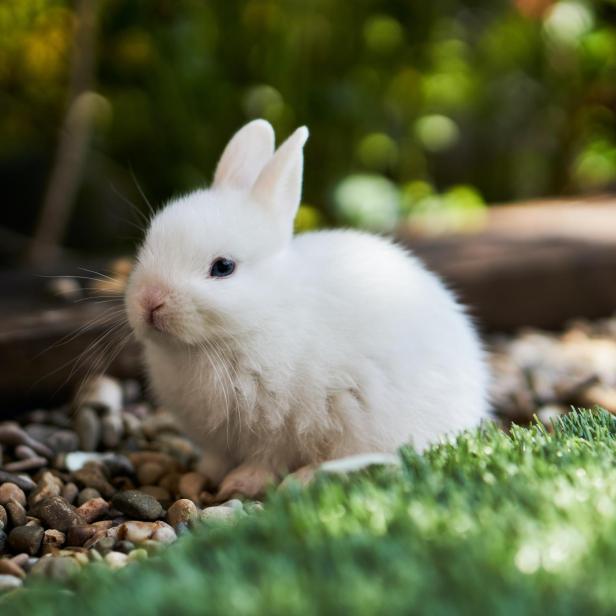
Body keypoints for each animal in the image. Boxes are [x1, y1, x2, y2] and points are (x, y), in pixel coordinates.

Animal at [125, 120, 490, 500]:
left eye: (223, 267)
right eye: (148, 245)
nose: (150, 301)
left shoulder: (281, 427)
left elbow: (267, 459)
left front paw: (241, 483)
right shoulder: (218, 441)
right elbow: (215, 459)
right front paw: (199, 476)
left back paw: (305, 479)